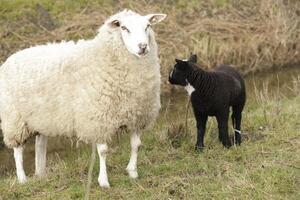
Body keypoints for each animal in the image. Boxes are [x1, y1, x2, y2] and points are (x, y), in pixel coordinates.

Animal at [0, 9, 166, 188]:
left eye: (148, 26)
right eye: (124, 28)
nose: (143, 47)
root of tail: (11, 58)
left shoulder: (137, 115)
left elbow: (136, 145)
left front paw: (133, 173)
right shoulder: (98, 119)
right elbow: (103, 151)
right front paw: (103, 181)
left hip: (40, 118)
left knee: (40, 146)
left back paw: (41, 175)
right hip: (14, 119)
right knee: (17, 150)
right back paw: (22, 179)